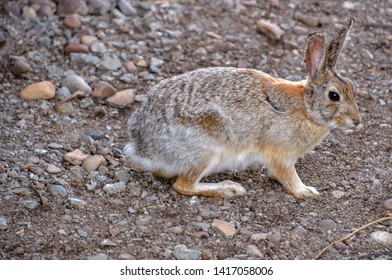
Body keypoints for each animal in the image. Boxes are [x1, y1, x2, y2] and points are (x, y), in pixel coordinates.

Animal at [125, 18, 362, 199]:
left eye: (352, 86)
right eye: (334, 95)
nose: (357, 121)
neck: (306, 108)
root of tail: (142, 146)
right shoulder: (281, 154)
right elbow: (288, 175)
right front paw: (305, 191)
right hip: (207, 149)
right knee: (183, 185)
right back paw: (228, 188)